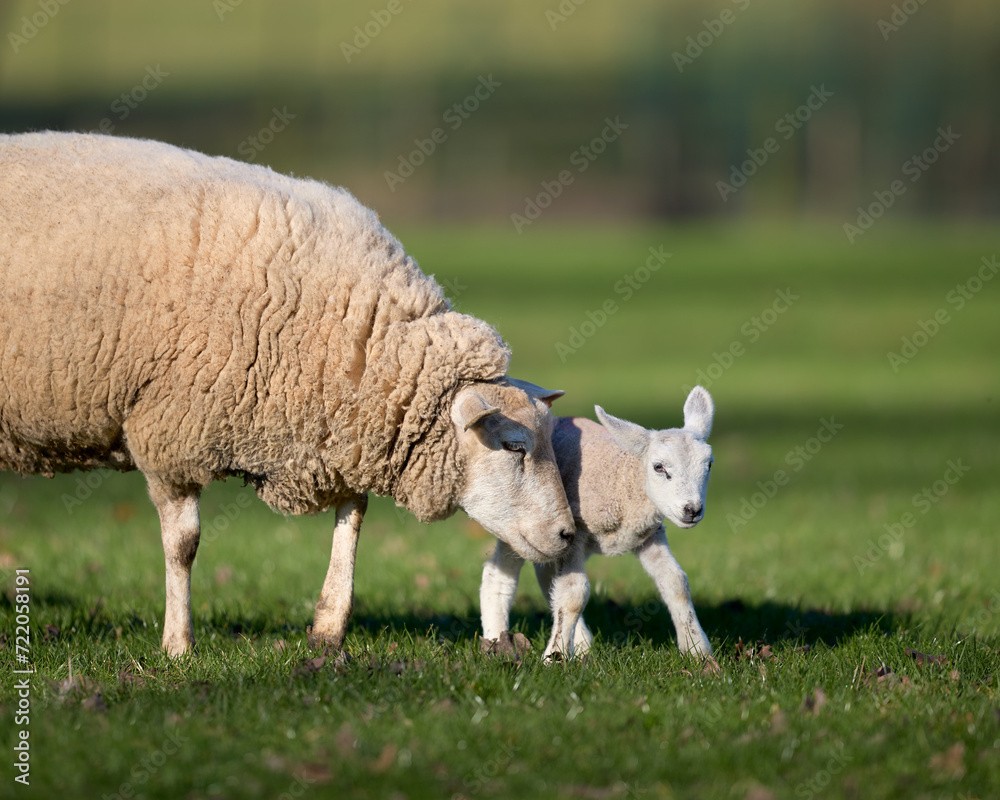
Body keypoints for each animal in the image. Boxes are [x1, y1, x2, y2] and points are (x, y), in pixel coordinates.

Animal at [0, 131, 575, 656]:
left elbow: (353, 516)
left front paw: (327, 629)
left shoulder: (340, 433)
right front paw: (178, 646)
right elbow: (184, 545)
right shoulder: (167, 433)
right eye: (514, 446)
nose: (569, 535)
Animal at [480, 386, 715, 661]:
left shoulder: (649, 534)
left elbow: (676, 582)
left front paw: (697, 650)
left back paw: (581, 643)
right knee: (499, 575)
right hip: (520, 523)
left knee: (546, 575)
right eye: (659, 467)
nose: (692, 510)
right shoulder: (576, 530)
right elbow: (574, 592)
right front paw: (554, 656)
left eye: (709, 465)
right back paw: (496, 640)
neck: (622, 478)